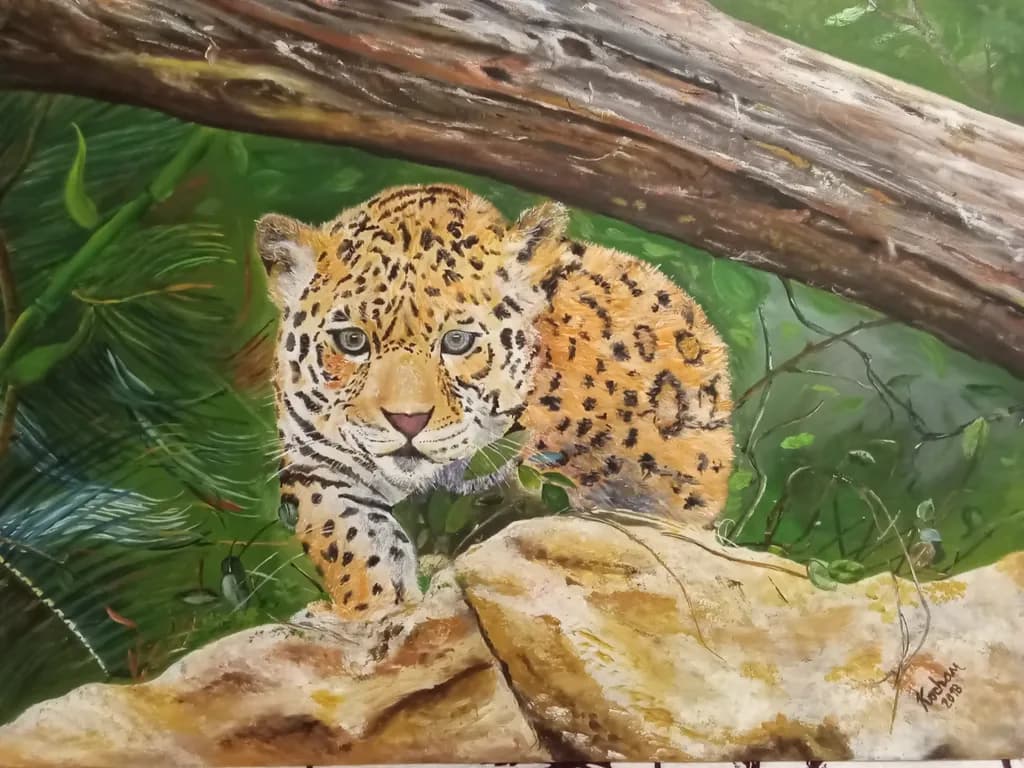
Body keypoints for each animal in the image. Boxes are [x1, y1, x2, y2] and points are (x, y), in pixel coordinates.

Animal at [255, 183, 732, 619]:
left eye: (457, 341)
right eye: (352, 341)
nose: (407, 421)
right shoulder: (322, 466)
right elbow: (354, 543)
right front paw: (377, 609)